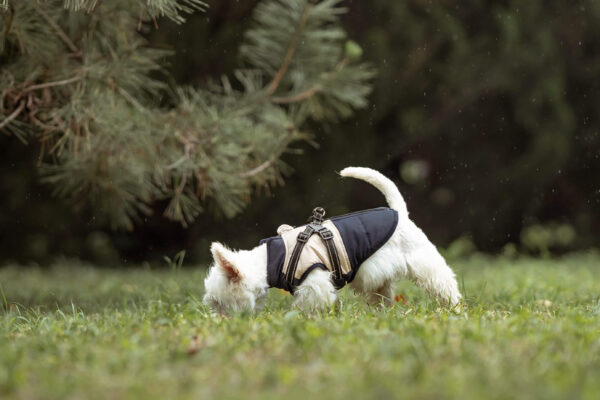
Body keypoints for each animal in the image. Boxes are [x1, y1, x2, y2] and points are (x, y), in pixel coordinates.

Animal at [204, 166, 462, 312]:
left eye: (217, 302)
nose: (214, 319)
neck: (271, 260)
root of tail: (399, 212)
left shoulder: (315, 284)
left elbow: (310, 305)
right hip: (378, 279)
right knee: (382, 296)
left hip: (424, 264)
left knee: (444, 285)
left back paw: (455, 308)